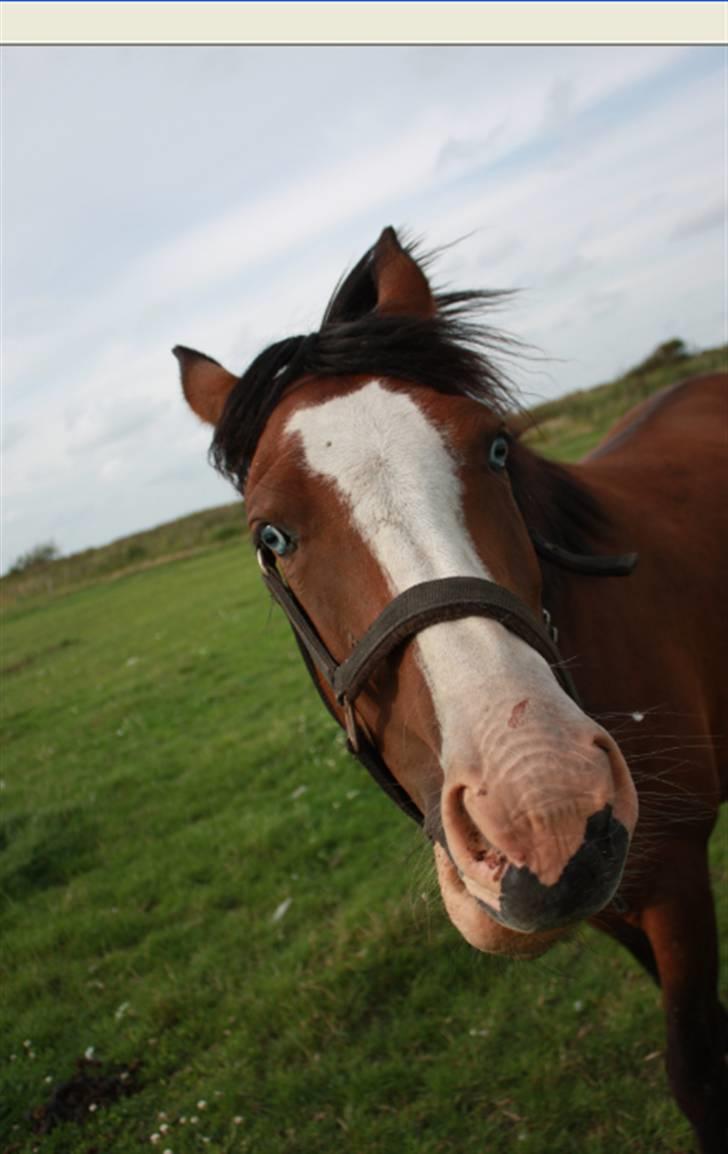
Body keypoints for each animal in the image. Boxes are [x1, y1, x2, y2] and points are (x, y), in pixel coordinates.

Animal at [176, 227, 728, 1154]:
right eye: (270, 535)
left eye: (497, 447)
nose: (544, 811)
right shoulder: (622, 899)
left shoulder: (678, 877)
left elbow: (699, 1072)